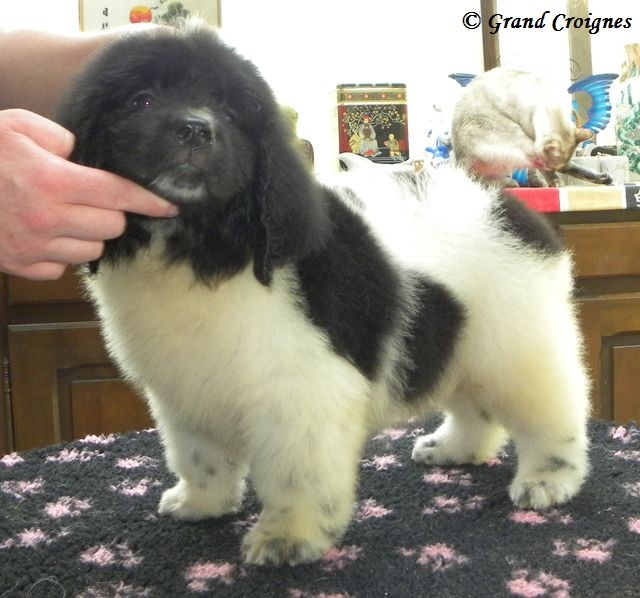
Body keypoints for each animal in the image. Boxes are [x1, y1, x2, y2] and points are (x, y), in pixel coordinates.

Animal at [58, 24, 590, 566]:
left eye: (230, 114)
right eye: (142, 100)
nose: (194, 129)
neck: (202, 247)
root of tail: (511, 208)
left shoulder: (301, 393)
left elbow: (296, 474)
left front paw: (288, 535)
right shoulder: (186, 390)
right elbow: (199, 457)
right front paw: (201, 502)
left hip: (516, 347)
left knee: (553, 414)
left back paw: (548, 478)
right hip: (460, 340)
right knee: (475, 408)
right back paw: (454, 449)